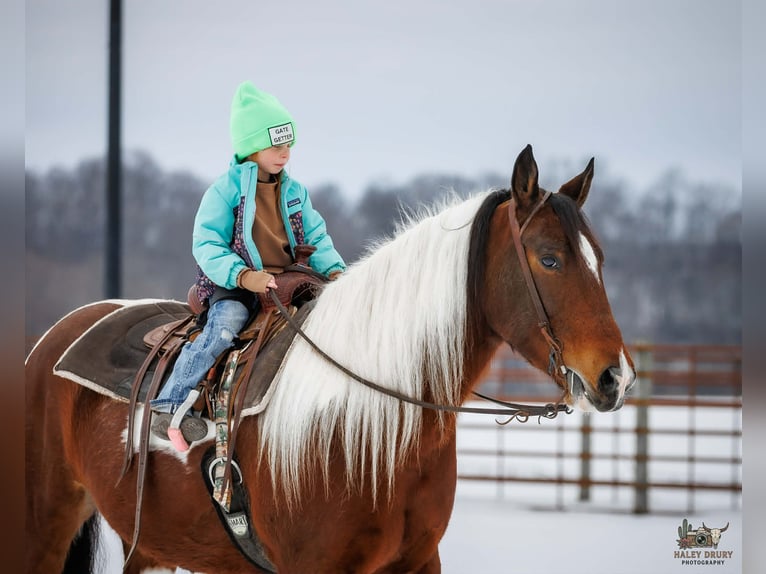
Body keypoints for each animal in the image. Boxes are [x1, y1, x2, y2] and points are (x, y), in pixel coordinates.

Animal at [25, 144, 635, 573]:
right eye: (550, 259)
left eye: (601, 258)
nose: (616, 377)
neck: (366, 422)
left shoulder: (418, 562)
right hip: (44, 526)